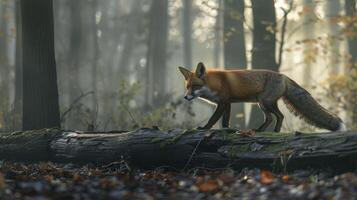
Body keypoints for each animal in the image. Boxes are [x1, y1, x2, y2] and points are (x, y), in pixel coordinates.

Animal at [178, 61, 344, 132]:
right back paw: (269, 131)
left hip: (265, 102)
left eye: (195, 87)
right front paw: (226, 129)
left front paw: (204, 128)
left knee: (277, 116)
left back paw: (267, 131)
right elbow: (225, 120)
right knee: (274, 117)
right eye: (187, 87)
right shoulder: (227, 103)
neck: (215, 83)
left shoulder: (223, 102)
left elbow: (213, 119)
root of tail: (284, 76)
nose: (186, 97)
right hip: (263, 104)